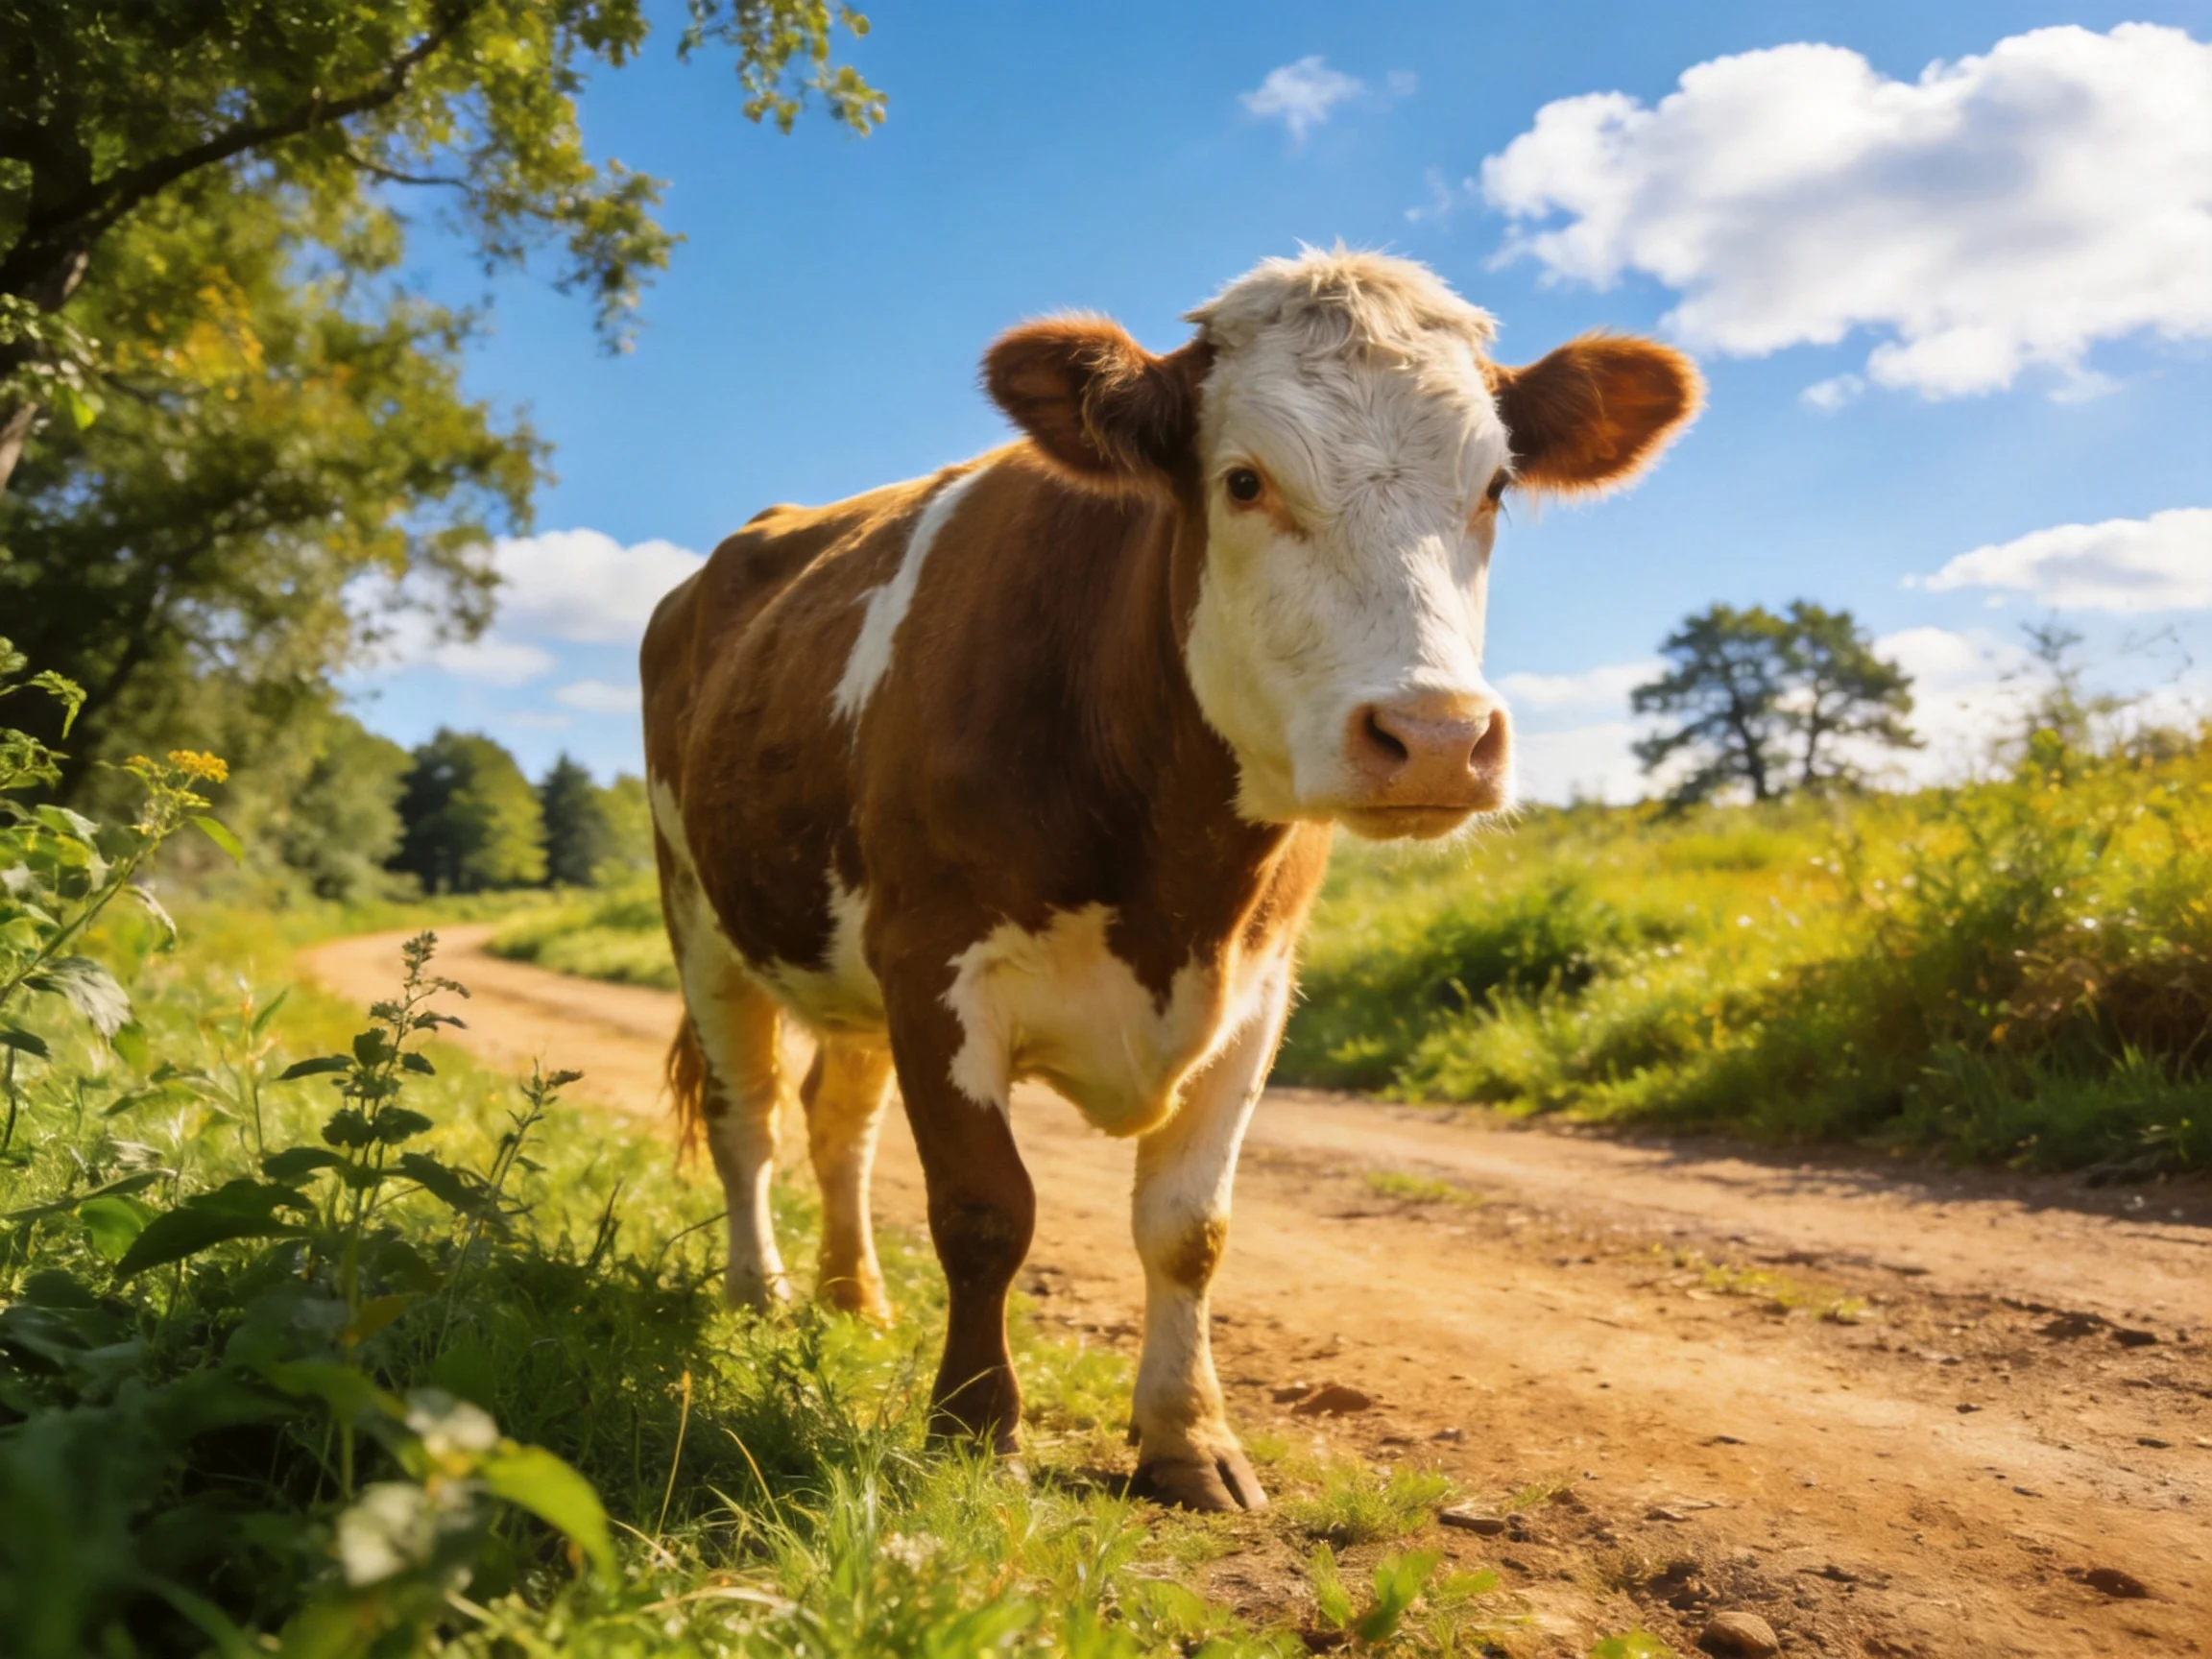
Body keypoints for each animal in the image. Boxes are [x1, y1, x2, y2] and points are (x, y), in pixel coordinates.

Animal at [640, 248, 1699, 1512]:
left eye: (1493, 487)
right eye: (1243, 481)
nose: (1438, 737)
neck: (1175, 878)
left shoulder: (1256, 985)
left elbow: (1188, 1227)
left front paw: (1189, 1439)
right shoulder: (934, 960)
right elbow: (985, 1210)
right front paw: (975, 1430)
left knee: (836, 1117)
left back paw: (855, 1298)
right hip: (700, 915)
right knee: (746, 1115)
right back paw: (760, 1293)